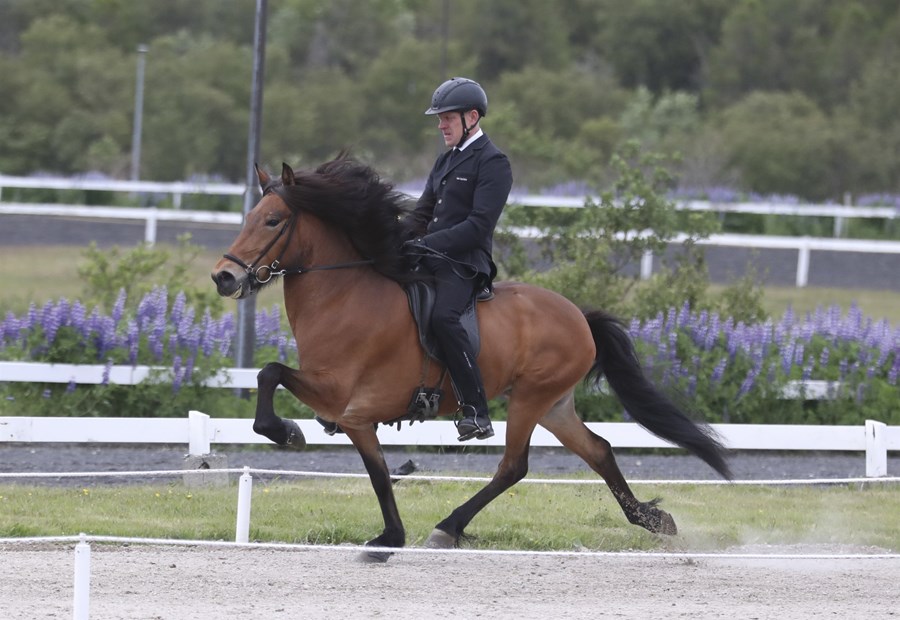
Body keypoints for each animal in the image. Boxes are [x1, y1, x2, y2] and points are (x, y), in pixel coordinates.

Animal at [213, 154, 732, 556]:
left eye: (273, 221)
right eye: (248, 217)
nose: (224, 277)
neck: (345, 295)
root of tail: (578, 316)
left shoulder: (342, 397)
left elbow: (270, 373)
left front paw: (286, 432)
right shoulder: (354, 415)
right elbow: (377, 472)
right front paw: (389, 534)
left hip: (529, 399)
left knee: (513, 466)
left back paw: (449, 526)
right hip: (554, 405)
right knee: (599, 450)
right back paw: (652, 519)